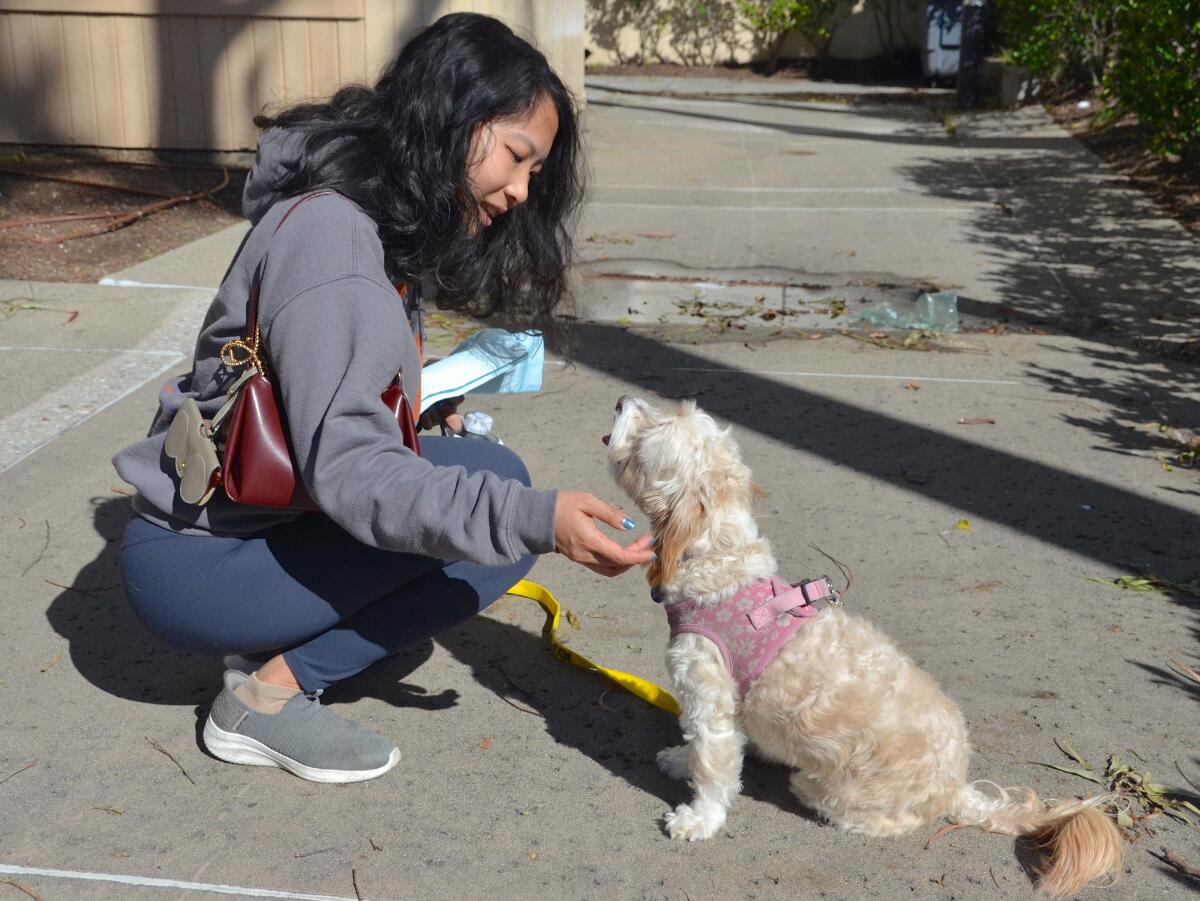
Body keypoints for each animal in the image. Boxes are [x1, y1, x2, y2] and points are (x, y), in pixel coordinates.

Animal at [609, 398, 1123, 897]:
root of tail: (956, 786)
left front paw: (699, 818)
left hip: (838, 793)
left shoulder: (710, 701)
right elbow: (698, 747)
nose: (619, 400)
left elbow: (713, 767)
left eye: (655, 425)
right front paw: (680, 760)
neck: (722, 565)